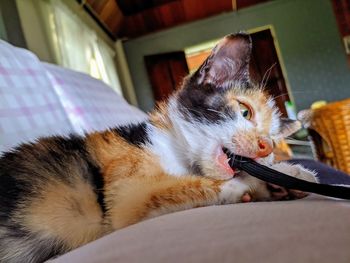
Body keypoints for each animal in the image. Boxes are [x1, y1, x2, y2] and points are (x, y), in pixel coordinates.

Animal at [0, 33, 318, 263]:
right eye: (244, 111)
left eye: (273, 139)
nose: (265, 147)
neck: (176, 152)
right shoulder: (127, 196)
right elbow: (183, 186)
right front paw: (250, 183)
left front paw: (284, 178)